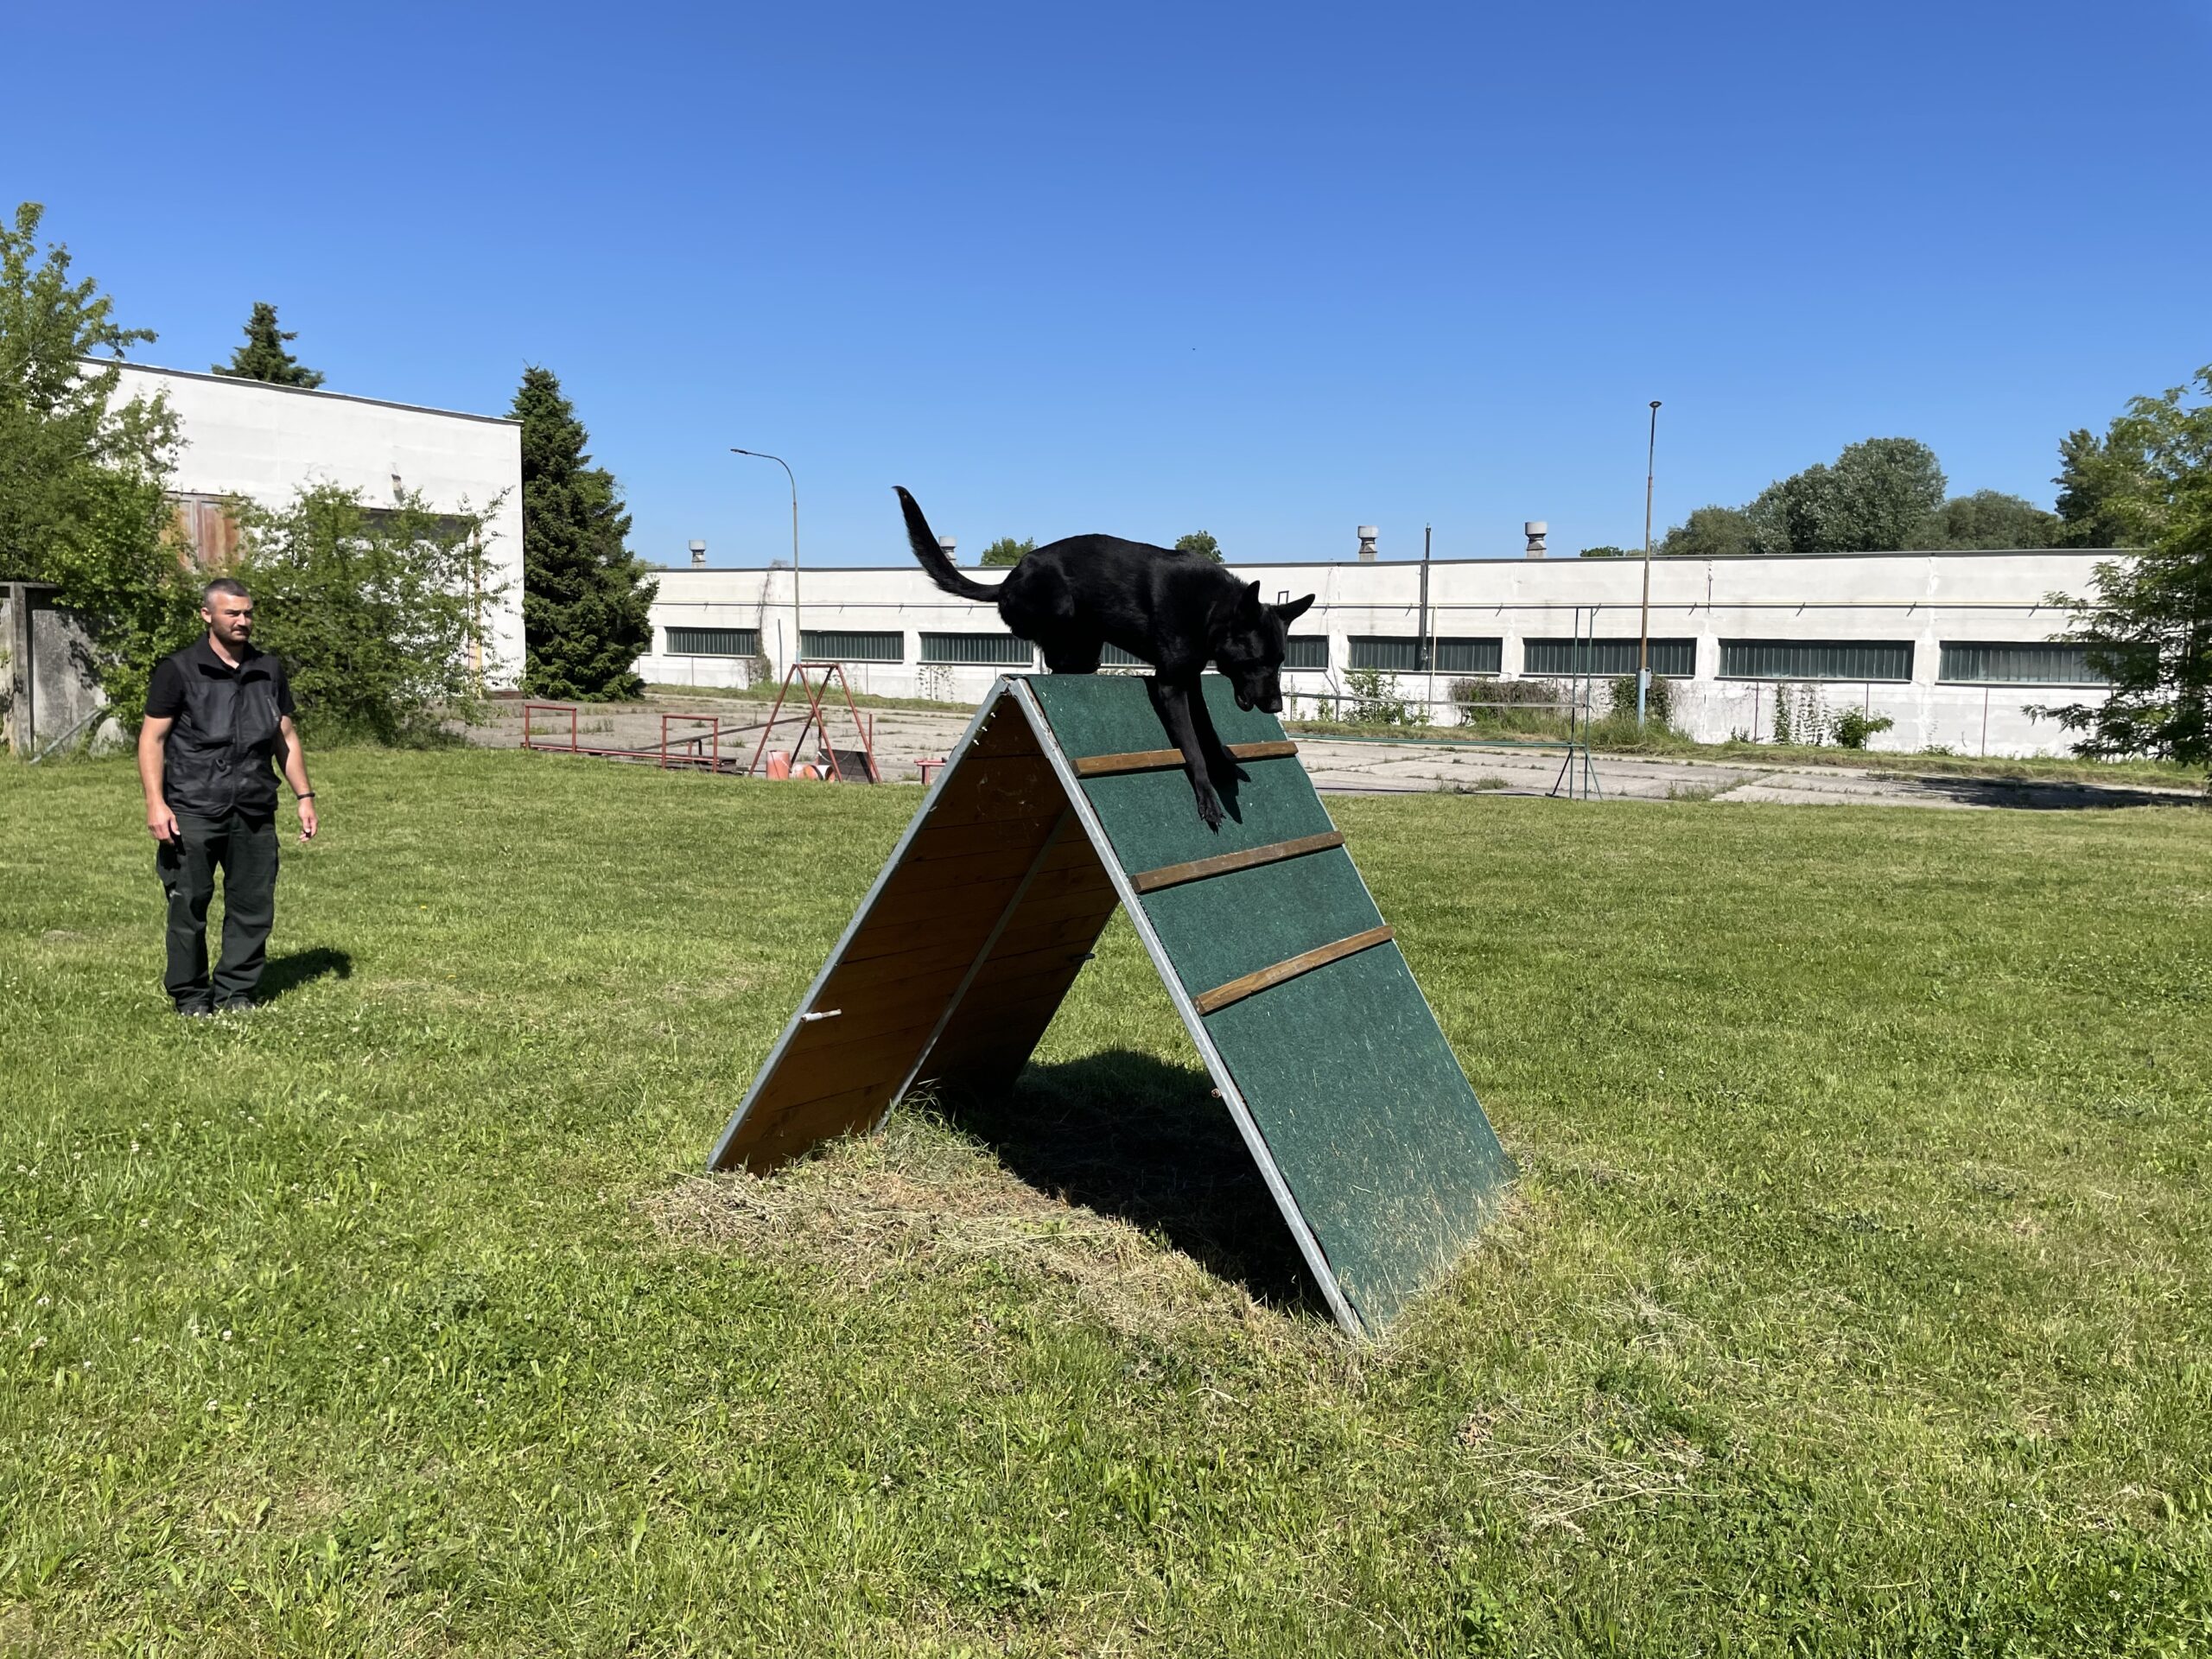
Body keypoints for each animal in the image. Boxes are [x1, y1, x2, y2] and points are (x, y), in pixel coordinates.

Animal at [898, 491, 1309, 831]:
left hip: (1089, 645)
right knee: (1048, 647)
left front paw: (1225, 764)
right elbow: (1192, 746)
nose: (1276, 705)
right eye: (1257, 660)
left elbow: (1208, 731)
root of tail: (1007, 581)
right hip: (1061, 607)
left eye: (1280, 660)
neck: (1211, 611)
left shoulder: (1191, 682)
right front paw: (1207, 795)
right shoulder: (1171, 685)